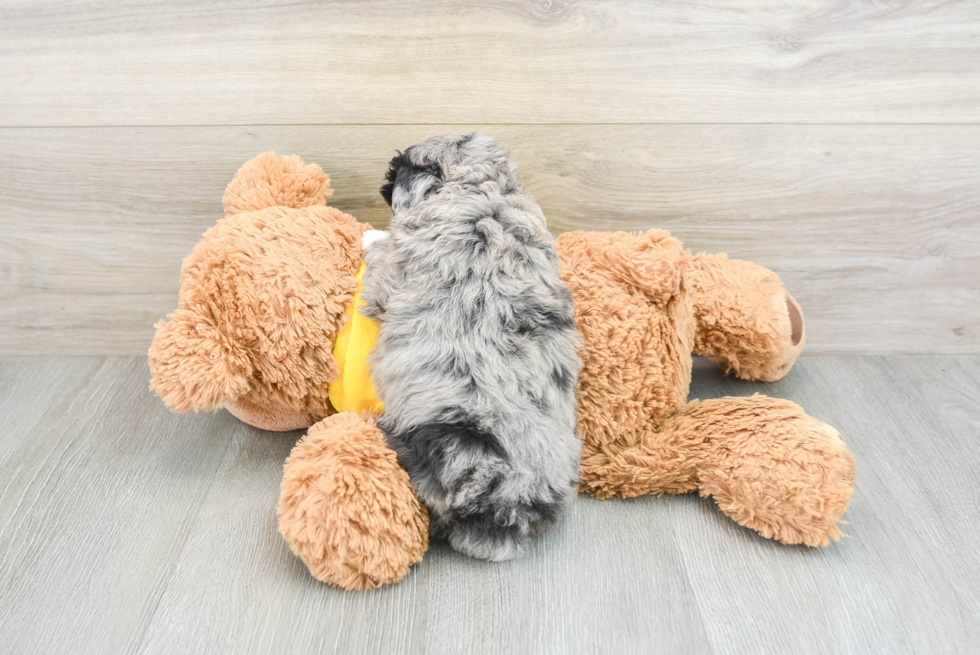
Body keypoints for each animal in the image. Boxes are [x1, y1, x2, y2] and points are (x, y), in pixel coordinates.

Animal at [362, 135, 580, 564]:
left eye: (396, 172)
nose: (382, 189)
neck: (485, 185)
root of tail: (506, 492)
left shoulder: (389, 275)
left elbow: (380, 256)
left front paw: (369, 237)